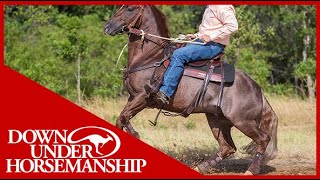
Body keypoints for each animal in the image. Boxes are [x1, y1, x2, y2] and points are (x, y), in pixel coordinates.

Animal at [104, 4, 278, 175]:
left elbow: (122, 117)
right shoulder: (132, 97)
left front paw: (134, 135)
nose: (108, 27)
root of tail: (257, 90)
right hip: (217, 120)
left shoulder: (142, 97)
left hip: (242, 121)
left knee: (262, 139)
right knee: (227, 147)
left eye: (130, 9)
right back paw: (200, 168)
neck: (150, 57)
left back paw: (251, 170)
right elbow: (122, 118)